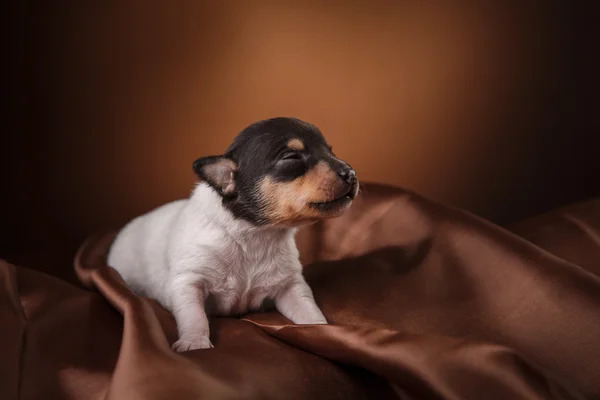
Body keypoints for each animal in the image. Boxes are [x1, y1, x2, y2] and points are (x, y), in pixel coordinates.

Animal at [106, 117, 358, 352]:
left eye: (330, 152)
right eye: (291, 157)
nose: (352, 174)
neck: (256, 234)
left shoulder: (291, 286)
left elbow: (309, 312)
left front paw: (322, 331)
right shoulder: (188, 282)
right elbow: (195, 316)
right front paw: (194, 342)